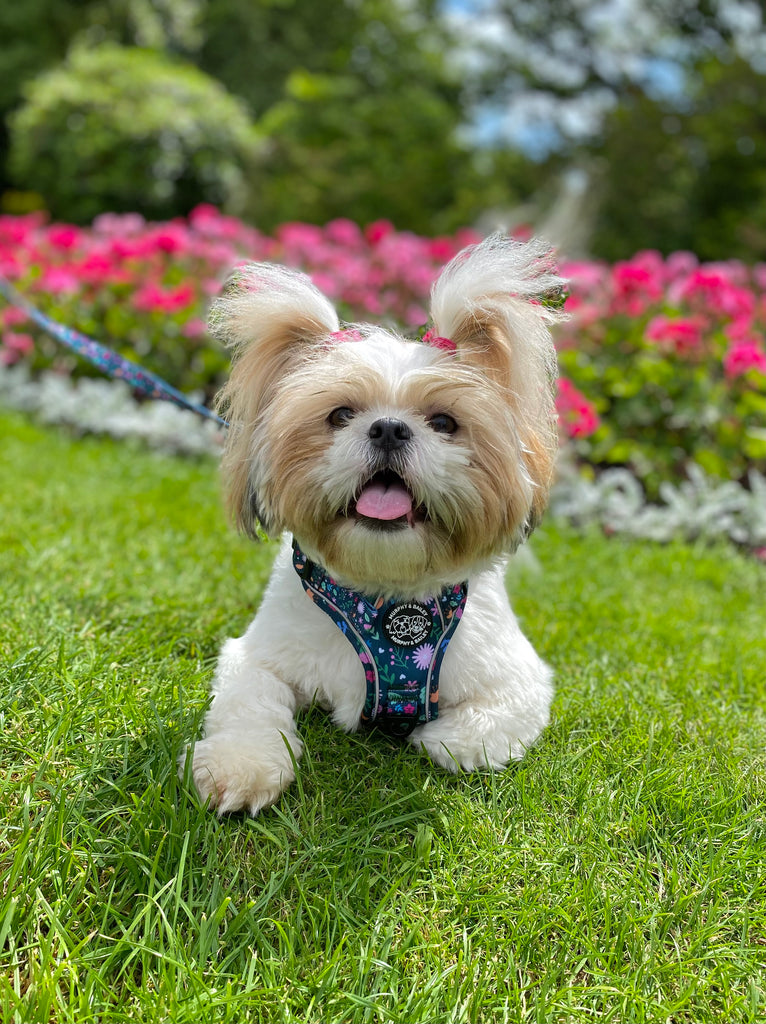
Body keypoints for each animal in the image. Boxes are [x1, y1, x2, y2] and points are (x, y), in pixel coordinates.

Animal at [187, 232, 561, 815]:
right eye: (341, 415)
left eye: (445, 422)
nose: (388, 427)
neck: (387, 597)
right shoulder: (254, 659)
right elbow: (251, 704)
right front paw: (240, 766)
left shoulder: (518, 679)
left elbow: (476, 732)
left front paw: (441, 738)